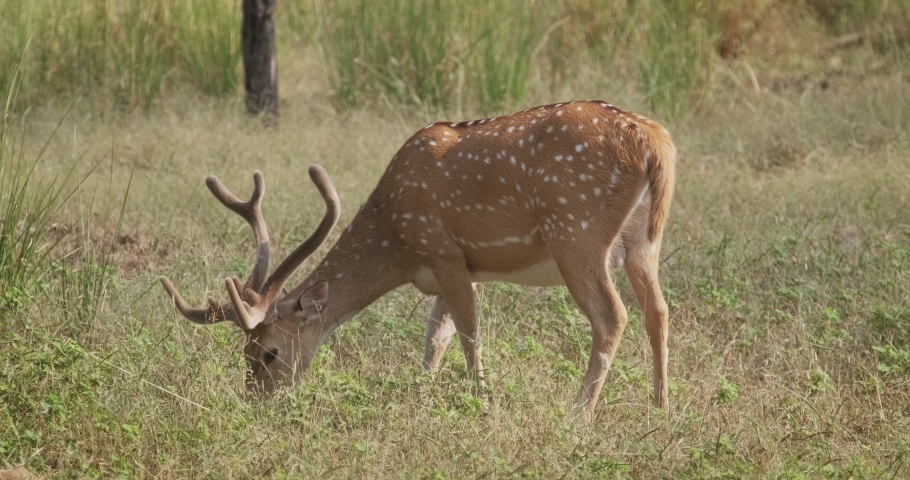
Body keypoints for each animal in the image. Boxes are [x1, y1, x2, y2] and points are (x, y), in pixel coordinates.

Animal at [159, 100, 676, 416]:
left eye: (269, 352)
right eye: (244, 353)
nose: (257, 405)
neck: (398, 245)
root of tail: (654, 142)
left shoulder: (443, 249)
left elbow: (467, 332)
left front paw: (482, 403)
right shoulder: (455, 265)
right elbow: (436, 338)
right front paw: (420, 395)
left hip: (576, 232)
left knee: (612, 315)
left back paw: (578, 414)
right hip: (644, 241)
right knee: (658, 310)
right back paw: (661, 405)